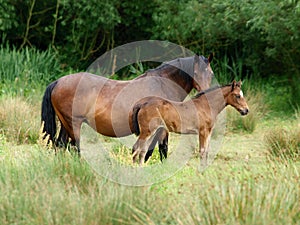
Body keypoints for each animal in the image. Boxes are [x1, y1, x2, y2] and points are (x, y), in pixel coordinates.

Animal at [41, 53, 213, 157]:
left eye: (210, 73)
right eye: (195, 73)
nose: (206, 94)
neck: (162, 84)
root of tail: (58, 82)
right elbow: (162, 150)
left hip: (65, 124)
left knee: (61, 145)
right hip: (73, 124)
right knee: (73, 147)